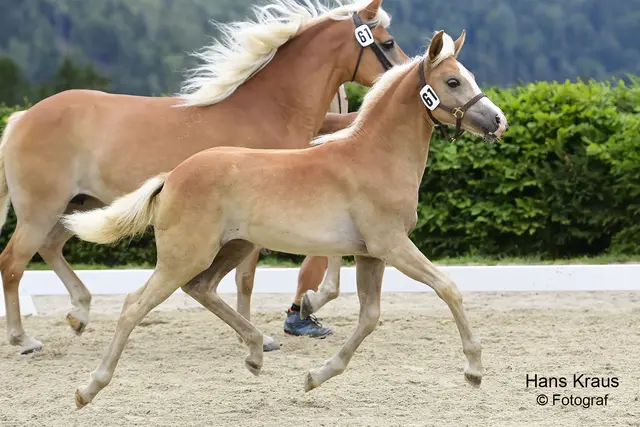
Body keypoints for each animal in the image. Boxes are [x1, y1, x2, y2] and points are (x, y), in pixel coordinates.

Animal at [0, 0, 408, 355]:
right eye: (387, 42)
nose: (407, 73)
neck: (268, 109)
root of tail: (22, 117)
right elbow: (246, 280)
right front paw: (262, 337)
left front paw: (299, 311)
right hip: (41, 210)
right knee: (13, 262)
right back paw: (24, 340)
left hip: (78, 207)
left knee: (50, 248)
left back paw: (80, 313)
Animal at [63, 28, 507, 407]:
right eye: (453, 82)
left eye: (469, 76)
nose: (498, 121)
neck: (375, 157)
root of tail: (172, 176)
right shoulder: (392, 245)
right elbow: (448, 287)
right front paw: (474, 369)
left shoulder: (370, 254)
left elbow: (369, 318)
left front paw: (315, 376)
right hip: (184, 256)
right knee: (135, 305)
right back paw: (88, 389)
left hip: (231, 247)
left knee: (201, 289)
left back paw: (256, 352)